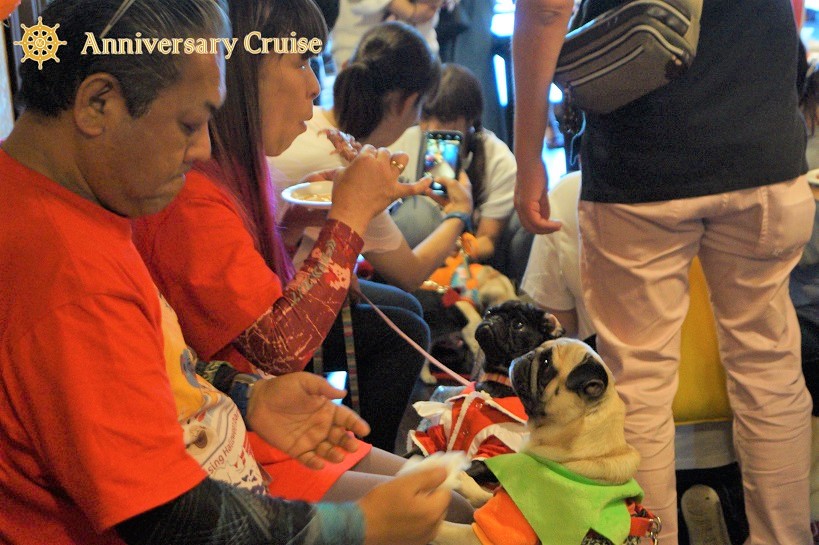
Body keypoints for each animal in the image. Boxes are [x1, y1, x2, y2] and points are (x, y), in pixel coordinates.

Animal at [436, 338, 648, 540]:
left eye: (546, 363)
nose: (527, 355)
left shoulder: (482, 535)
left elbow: (445, 528)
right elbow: (484, 495)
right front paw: (461, 479)